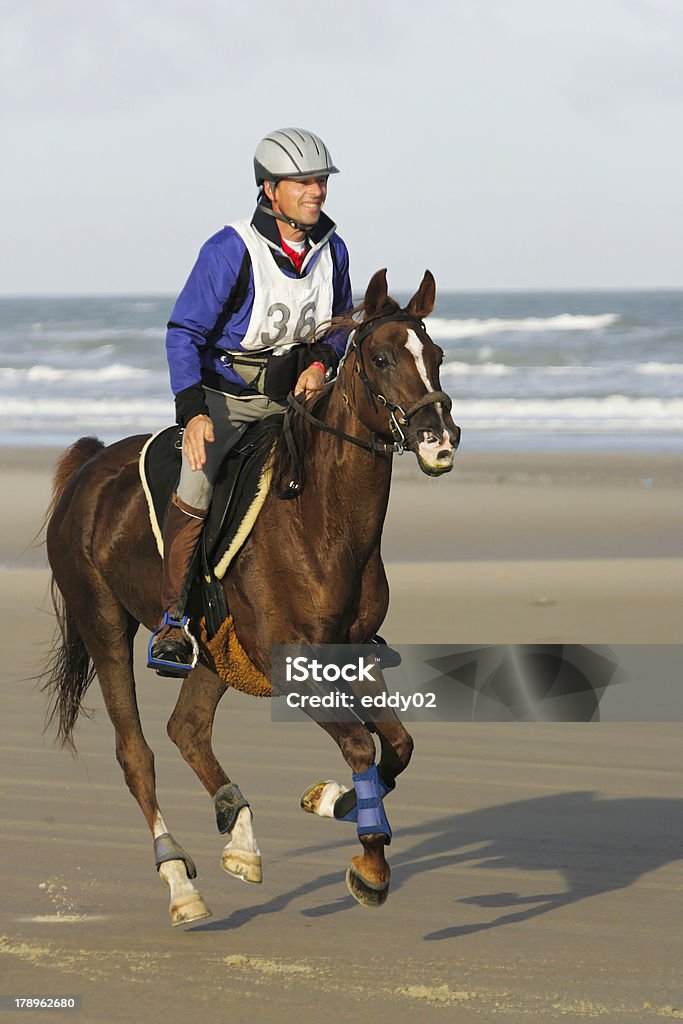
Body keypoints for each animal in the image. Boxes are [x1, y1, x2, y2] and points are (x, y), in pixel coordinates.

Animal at [41, 268, 458, 925]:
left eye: (436, 355)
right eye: (383, 357)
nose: (439, 439)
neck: (320, 517)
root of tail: (89, 468)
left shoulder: (353, 655)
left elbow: (396, 746)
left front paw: (333, 801)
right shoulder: (290, 666)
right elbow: (361, 745)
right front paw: (370, 864)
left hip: (215, 650)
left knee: (187, 728)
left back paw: (239, 837)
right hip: (103, 624)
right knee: (136, 754)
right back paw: (180, 884)